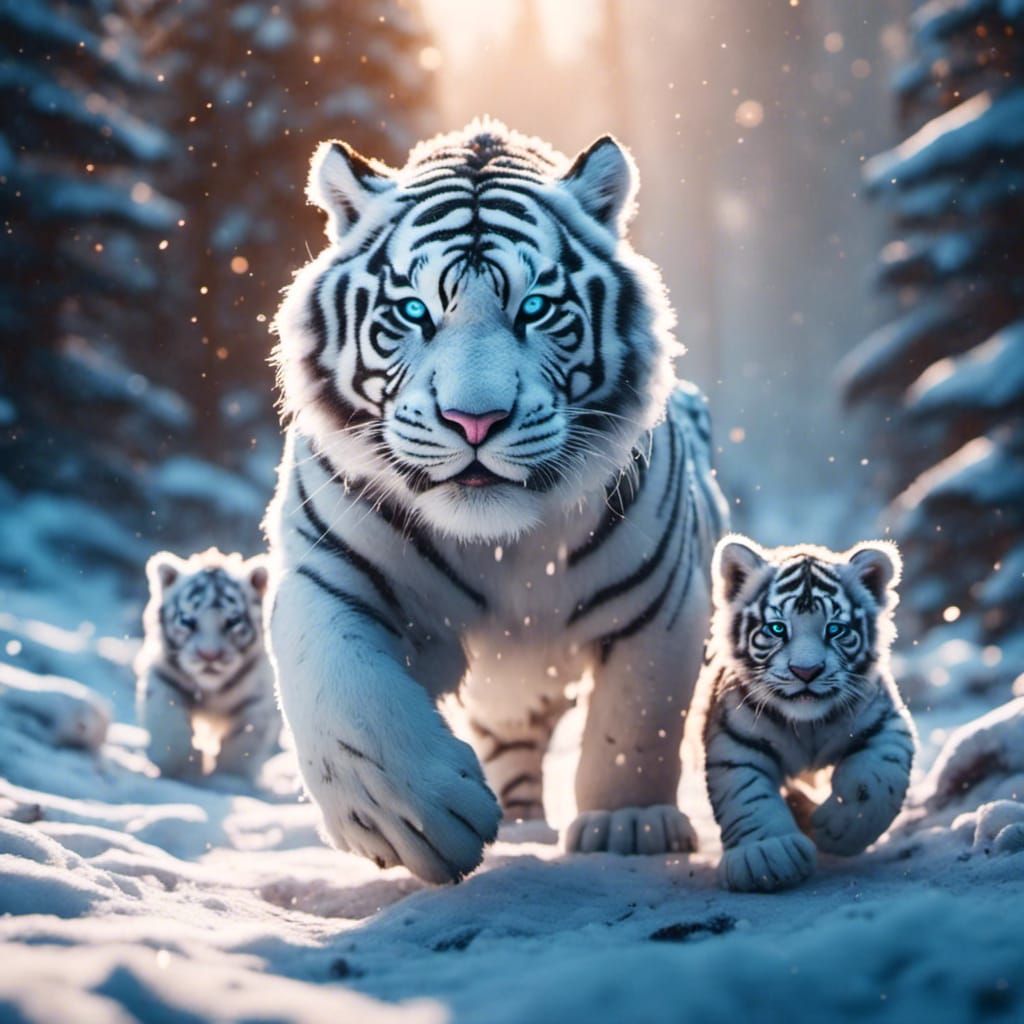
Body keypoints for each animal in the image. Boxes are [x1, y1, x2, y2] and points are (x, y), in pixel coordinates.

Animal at [135, 548, 279, 780]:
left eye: (232, 622)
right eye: (187, 621)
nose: (209, 655)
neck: (212, 690)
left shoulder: (258, 698)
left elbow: (243, 742)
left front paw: (228, 778)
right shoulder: (164, 680)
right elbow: (170, 727)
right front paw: (180, 771)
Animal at [265, 118, 728, 884]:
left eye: (534, 308)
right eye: (414, 311)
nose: (474, 420)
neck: (500, 544)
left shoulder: (661, 600)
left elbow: (637, 720)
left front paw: (628, 824)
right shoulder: (330, 574)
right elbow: (347, 701)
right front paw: (408, 820)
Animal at [699, 534, 916, 892]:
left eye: (835, 629)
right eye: (777, 629)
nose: (806, 671)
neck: (807, 725)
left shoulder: (884, 722)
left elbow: (874, 780)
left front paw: (839, 829)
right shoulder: (735, 741)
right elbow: (747, 795)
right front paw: (767, 857)